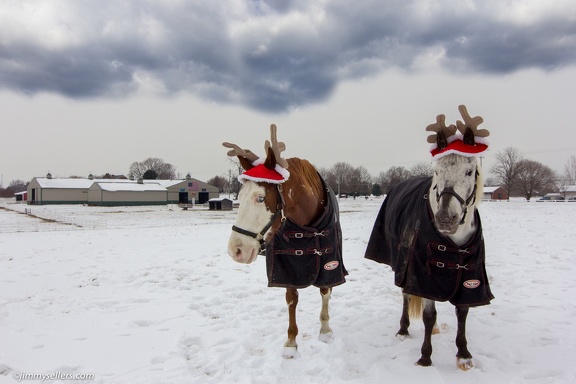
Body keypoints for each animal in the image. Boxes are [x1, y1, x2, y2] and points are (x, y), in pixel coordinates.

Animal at [224, 124, 346, 358]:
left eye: (260, 198)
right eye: (239, 197)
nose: (236, 250)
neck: (309, 227)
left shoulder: (329, 259)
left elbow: (325, 290)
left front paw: (325, 330)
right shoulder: (287, 265)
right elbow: (291, 298)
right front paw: (291, 342)